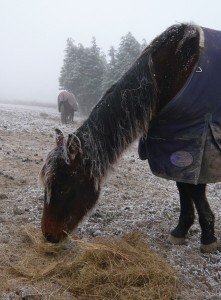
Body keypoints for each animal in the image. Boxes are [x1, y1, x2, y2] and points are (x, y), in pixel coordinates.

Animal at [39, 23, 221, 252]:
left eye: (64, 187)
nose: (48, 234)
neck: (172, 72)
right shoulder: (175, 142)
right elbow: (183, 187)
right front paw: (181, 230)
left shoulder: (195, 141)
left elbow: (194, 189)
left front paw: (208, 237)